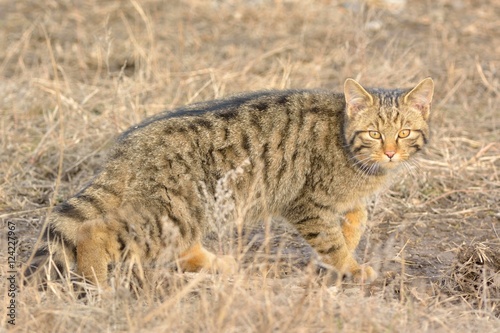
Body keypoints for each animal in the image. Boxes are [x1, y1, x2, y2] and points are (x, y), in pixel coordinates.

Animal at [25, 77, 434, 286]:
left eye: (404, 132)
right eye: (375, 134)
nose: (391, 153)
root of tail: (130, 143)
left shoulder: (344, 201)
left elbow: (355, 221)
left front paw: (346, 251)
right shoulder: (308, 204)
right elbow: (331, 240)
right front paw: (347, 266)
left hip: (186, 212)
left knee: (180, 246)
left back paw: (216, 264)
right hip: (170, 212)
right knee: (95, 231)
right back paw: (95, 280)